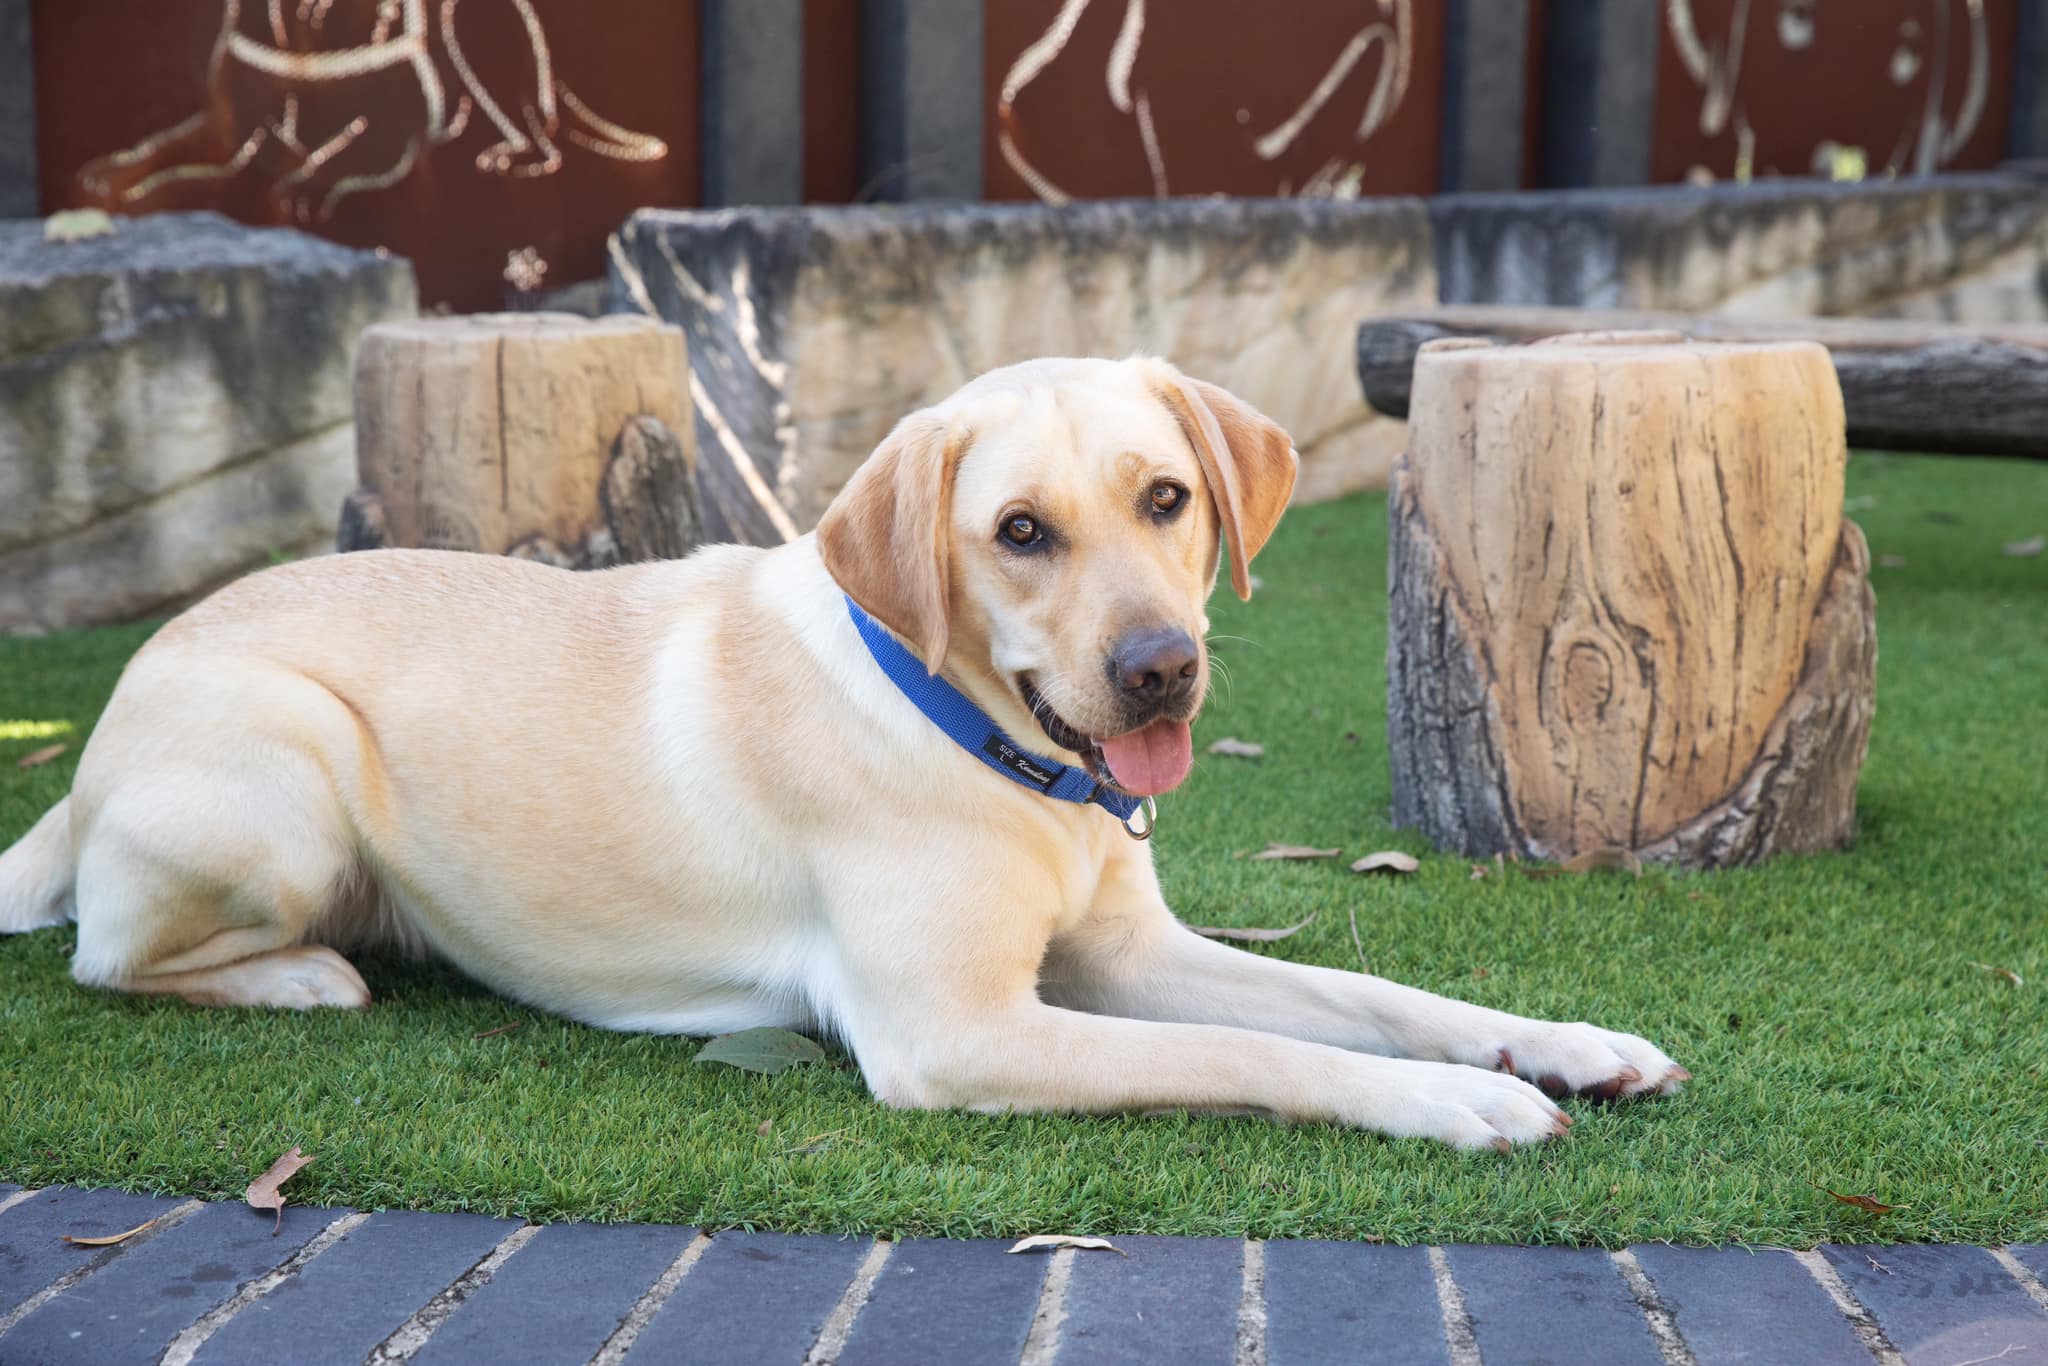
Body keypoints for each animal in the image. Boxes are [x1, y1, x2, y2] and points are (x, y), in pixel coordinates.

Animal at [0, 358, 1679, 1146]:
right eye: (1020, 532)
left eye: (1167, 499)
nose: (1162, 672)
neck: (997, 757)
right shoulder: (958, 1031)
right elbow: (1268, 1052)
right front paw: (1459, 1105)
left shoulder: (1130, 952)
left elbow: (1371, 996)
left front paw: (1561, 1043)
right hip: (289, 777)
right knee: (109, 952)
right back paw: (306, 974)